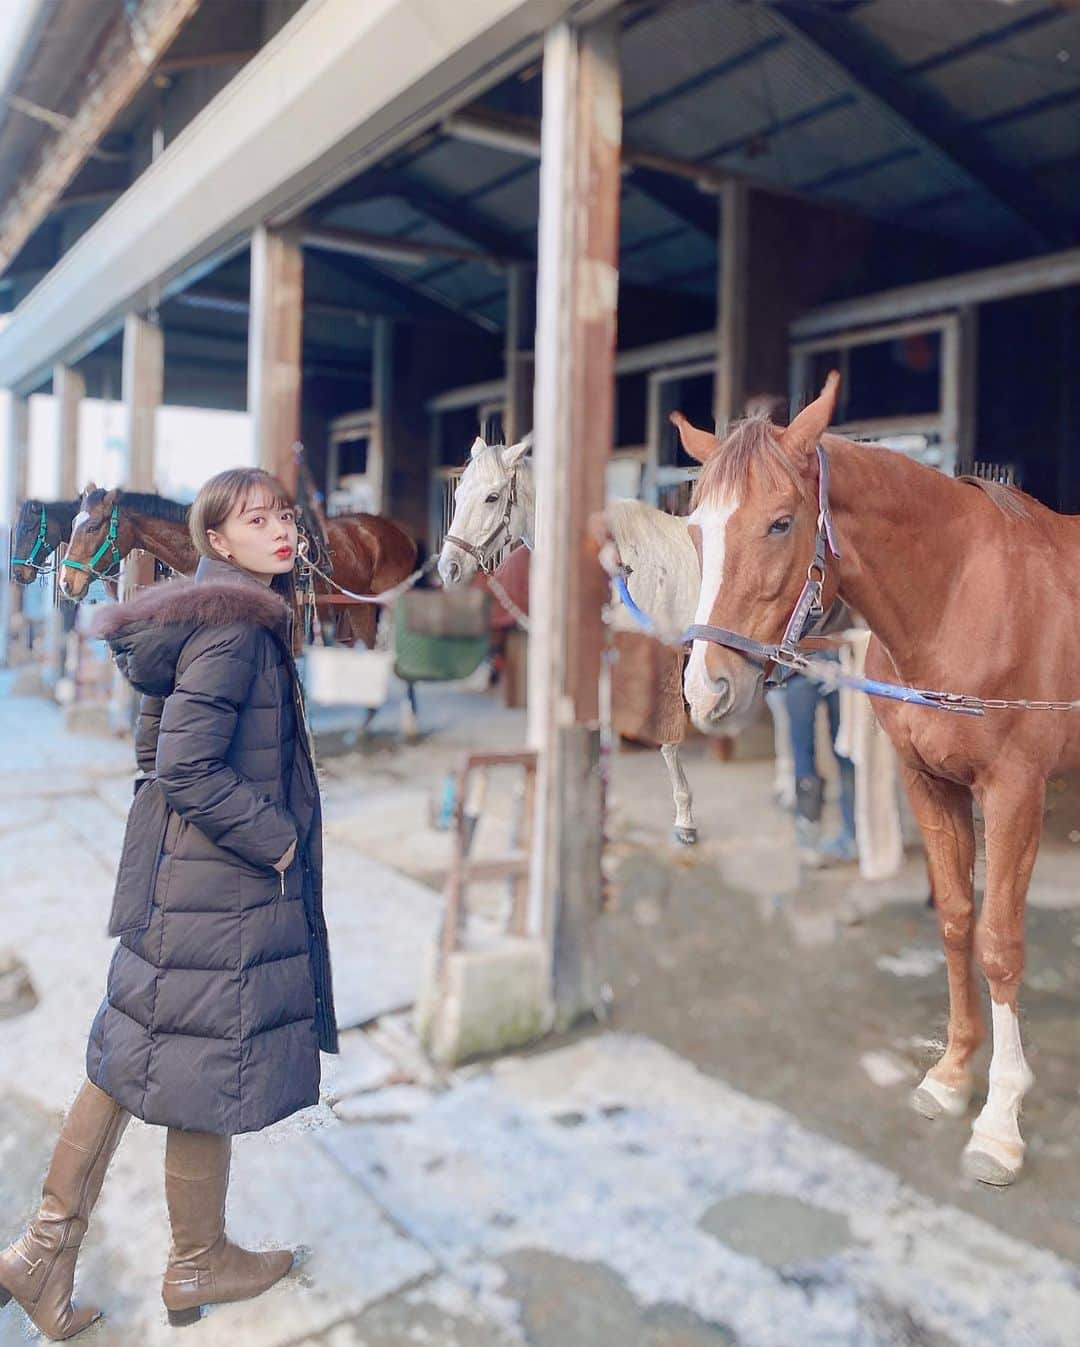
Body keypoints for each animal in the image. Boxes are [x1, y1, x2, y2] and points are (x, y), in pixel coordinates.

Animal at [673, 374, 1077, 1185]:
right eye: (697, 528)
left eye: (781, 523)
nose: (707, 689)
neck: (960, 596)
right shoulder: (929, 782)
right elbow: (955, 919)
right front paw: (952, 1075)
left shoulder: (1013, 791)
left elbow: (999, 942)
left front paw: (1000, 1120)